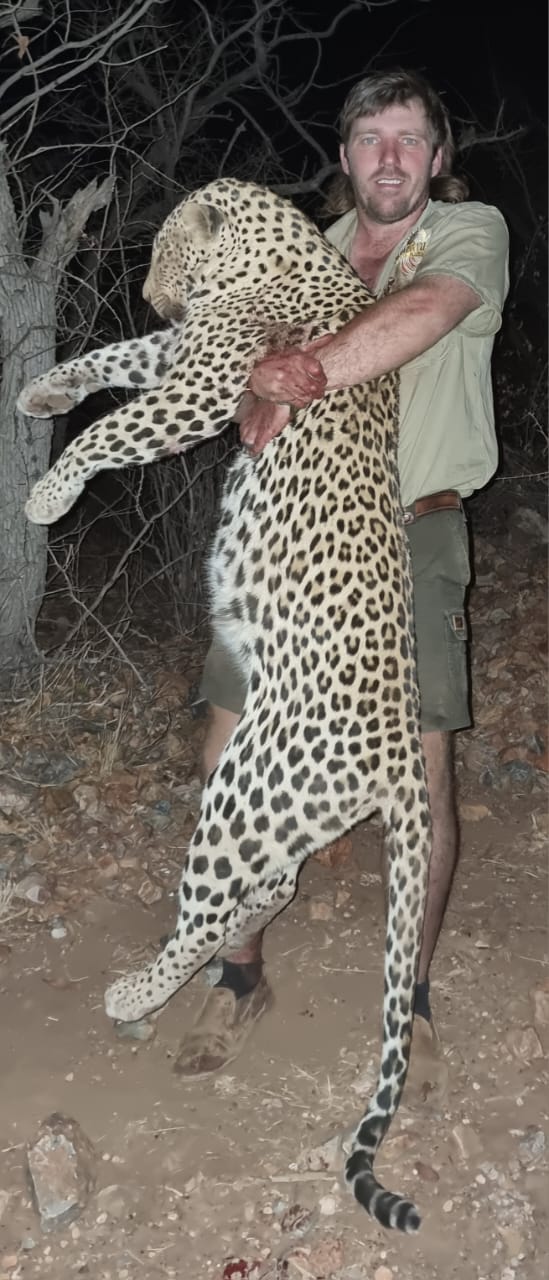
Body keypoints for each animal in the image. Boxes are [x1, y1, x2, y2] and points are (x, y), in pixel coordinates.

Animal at [19, 178, 431, 1233]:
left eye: (167, 254)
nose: (157, 296)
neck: (281, 249)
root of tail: (404, 750)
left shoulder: (208, 379)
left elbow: (115, 425)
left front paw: (47, 492)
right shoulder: (180, 353)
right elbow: (111, 360)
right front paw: (42, 391)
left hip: (248, 789)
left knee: (214, 904)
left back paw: (134, 993)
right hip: (268, 797)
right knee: (272, 888)